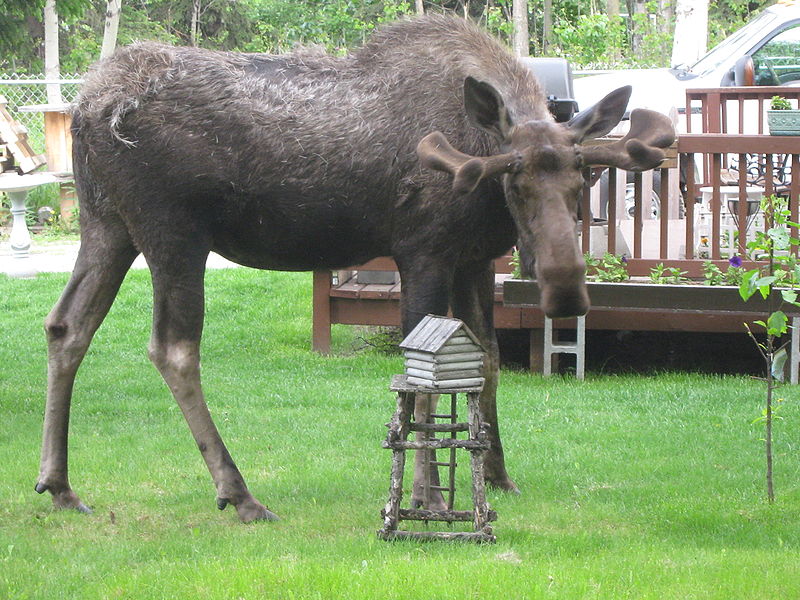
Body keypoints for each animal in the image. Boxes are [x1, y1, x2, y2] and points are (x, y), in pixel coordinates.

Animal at [39, 12, 676, 520]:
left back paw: (60, 485)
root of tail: (85, 108)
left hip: (107, 225)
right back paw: (239, 493)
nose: (566, 291)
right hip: (173, 233)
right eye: (513, 179)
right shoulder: (424, 250)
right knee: (172, 347)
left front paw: (495, 473)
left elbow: (488, 361)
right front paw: (428, 497)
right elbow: (422, 384)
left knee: (67, 325)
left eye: (583, 177)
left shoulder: (472, 258)